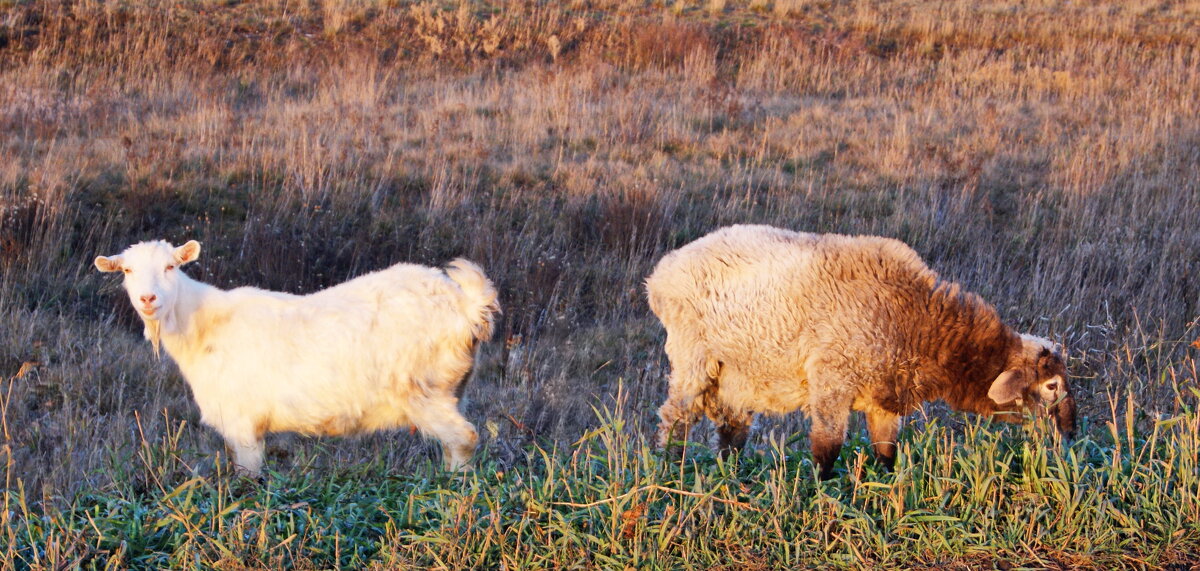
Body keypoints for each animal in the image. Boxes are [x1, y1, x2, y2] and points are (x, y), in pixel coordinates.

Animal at [94, 238, 501, 475]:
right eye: (127, 270)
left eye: (170, 266)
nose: (148, 299)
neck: (202, 325)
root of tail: (466, 304)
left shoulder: (242, 423)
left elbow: (249, 478)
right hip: (449, 391)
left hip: (424, 390)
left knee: (464, 438)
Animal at [648, 225, 1080, 479]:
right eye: (1052, 386)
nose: (1071, 434)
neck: (915, 318)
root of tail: (661, 273)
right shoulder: (832, 379)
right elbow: (828, 447)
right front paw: (822, 491)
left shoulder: (885, 396)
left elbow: (887, 450)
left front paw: (886, 485)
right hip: (693, 358)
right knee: (675, 418)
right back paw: (667, 467)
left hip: (739, 373)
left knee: (732, 427)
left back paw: (730, 474)